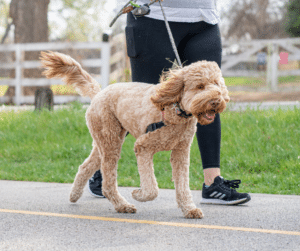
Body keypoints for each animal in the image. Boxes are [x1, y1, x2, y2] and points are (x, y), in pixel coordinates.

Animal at [40, 50, 230, 218]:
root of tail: (99, 93)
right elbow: (152, 188)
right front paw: (138, 194)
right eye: (200, 86)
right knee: (108, 183)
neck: (175, 110)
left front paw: (189, 209)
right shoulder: (143, 146)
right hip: (110, 141)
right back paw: (122, 205)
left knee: (85, 167)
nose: (216, 101)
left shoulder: (180, 153)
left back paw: (74, 195)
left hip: (106, 141)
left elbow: (183, 185)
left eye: (217, 84)